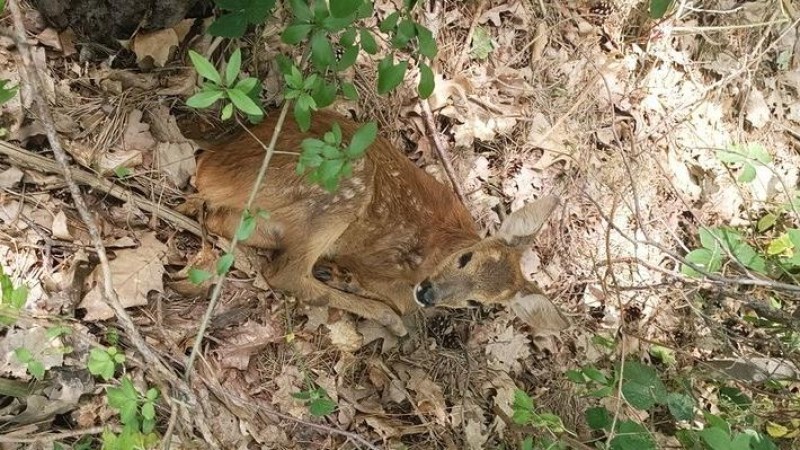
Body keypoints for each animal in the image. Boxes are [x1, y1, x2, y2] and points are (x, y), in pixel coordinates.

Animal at [192, 110, 568, 336]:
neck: (437, 249)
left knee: (221, 221)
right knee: (285, 273)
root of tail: (210, 170)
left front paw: (343, 276)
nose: (430, 294)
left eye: (477, 303)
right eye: (466, 258)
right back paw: (383, 314)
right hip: (347, 184)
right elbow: (398, 299)